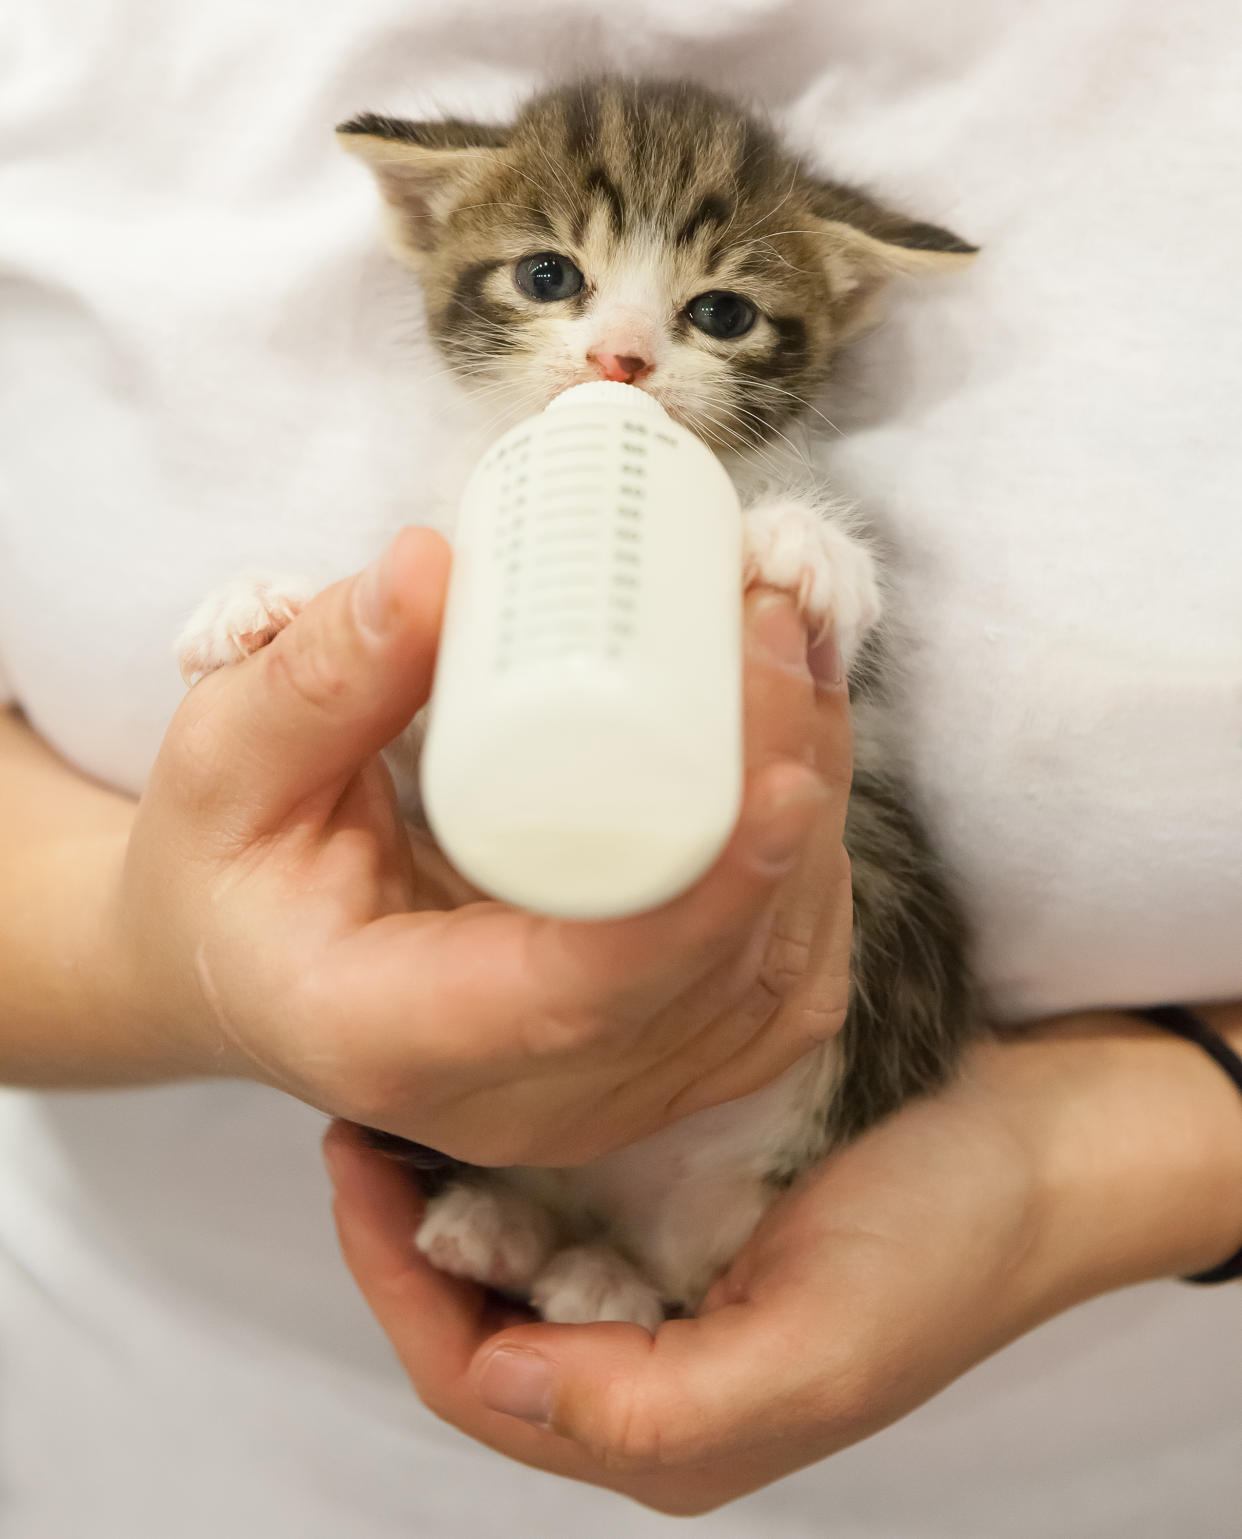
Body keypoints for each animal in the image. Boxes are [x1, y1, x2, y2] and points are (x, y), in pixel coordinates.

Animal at [180, 78, 978, 1329]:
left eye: (722, 313)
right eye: (550, 275)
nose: (621, 359)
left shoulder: (873, 712)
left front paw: (808, 547)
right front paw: (264, 605)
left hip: (878, 979)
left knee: (695, 1246)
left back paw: (604, 1279)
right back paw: (494, 1224)